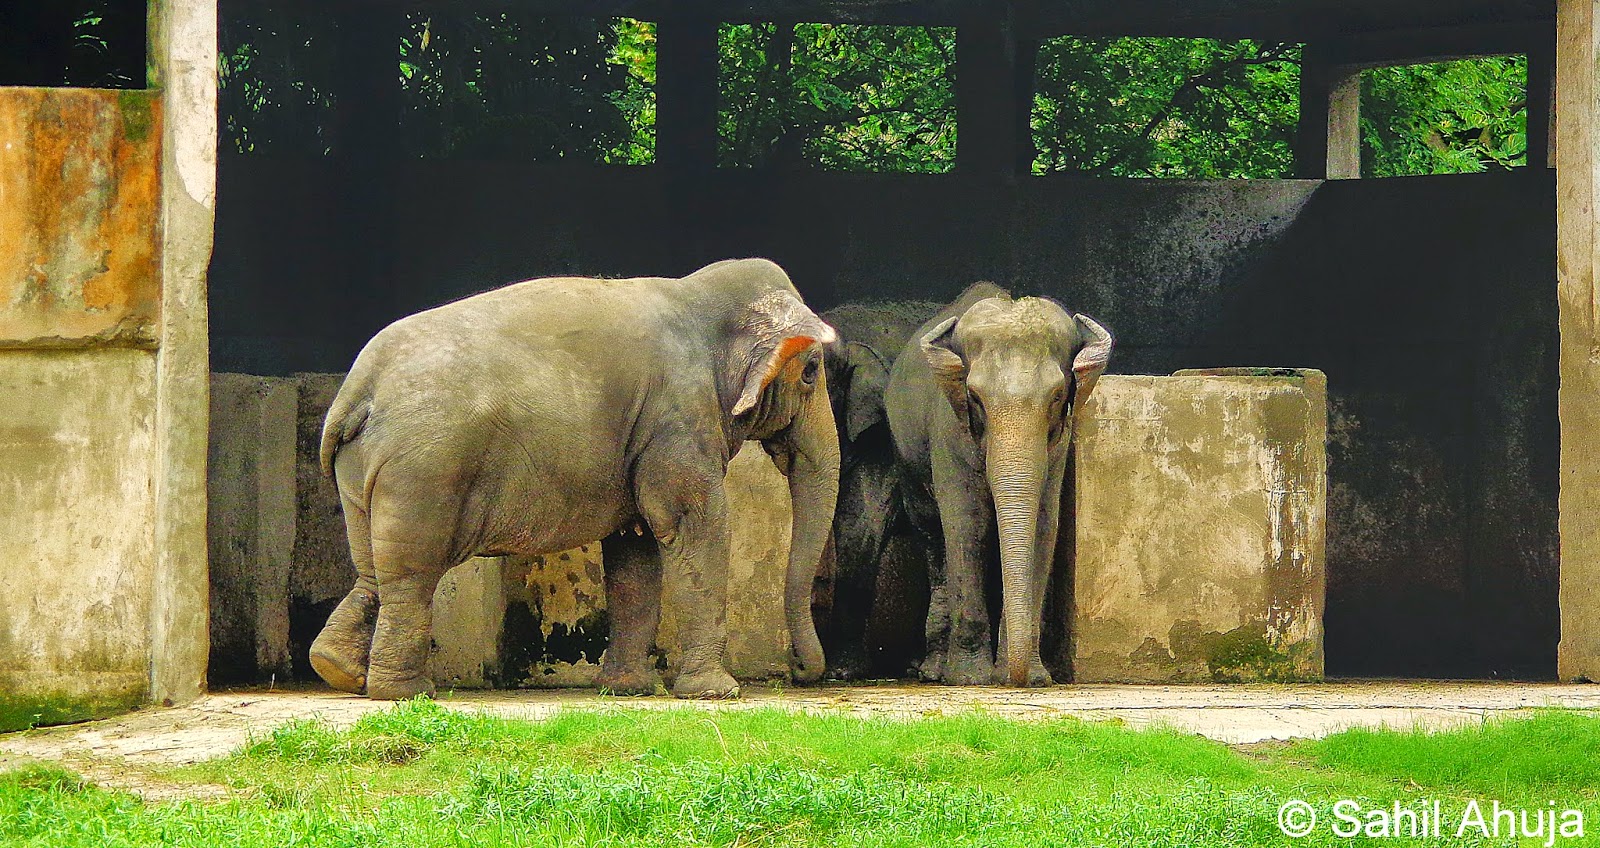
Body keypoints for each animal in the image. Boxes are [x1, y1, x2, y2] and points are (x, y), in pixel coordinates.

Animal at [307, 258, 841, 700]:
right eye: (811, 370)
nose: (801, 670)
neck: (698, 294)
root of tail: (358, 387)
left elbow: (635, 549)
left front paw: (627, 690)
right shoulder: (677, 419)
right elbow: (694, 527)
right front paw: (715, 694)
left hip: (367, 466)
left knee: (373, 566)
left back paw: (338, 669)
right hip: (426, 466)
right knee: (412, 572)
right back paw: (406, 693)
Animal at [885, 282, 1113, 687]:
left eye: (1057, 396)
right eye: (975, 397)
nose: (1014, 678)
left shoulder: (1059, 443)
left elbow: (1043, 521)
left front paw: (1030, 676)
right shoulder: (950, 428)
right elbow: (967, 522)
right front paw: (968, 679)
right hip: (905, 456)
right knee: (931, 533)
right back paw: (933, 671)